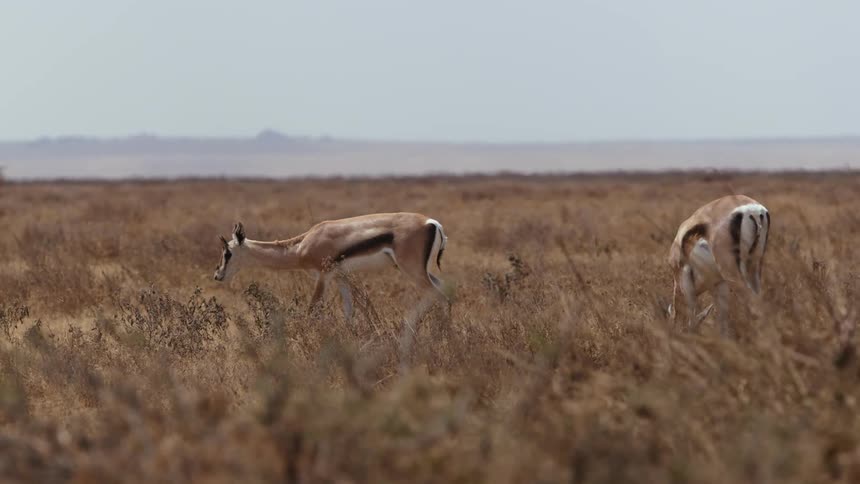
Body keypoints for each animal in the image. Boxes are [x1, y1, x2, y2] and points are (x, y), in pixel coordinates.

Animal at [213, 213, 449, 357]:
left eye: (228, 252)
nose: (217, 275)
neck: (301, 246)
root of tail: (432, 223)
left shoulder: (323, 276)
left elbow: (313, 309)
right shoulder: (341, 277)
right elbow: (351, 311)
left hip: (413, 271)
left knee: (440, 295)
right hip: (423, 272)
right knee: (445, 291)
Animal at [667, 195, 770, 335]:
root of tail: (753, 210)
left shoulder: (685, 284)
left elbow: (692, 316)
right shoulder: (720, 284)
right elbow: (722, 319)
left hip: (732, 273)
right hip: (754, 267)